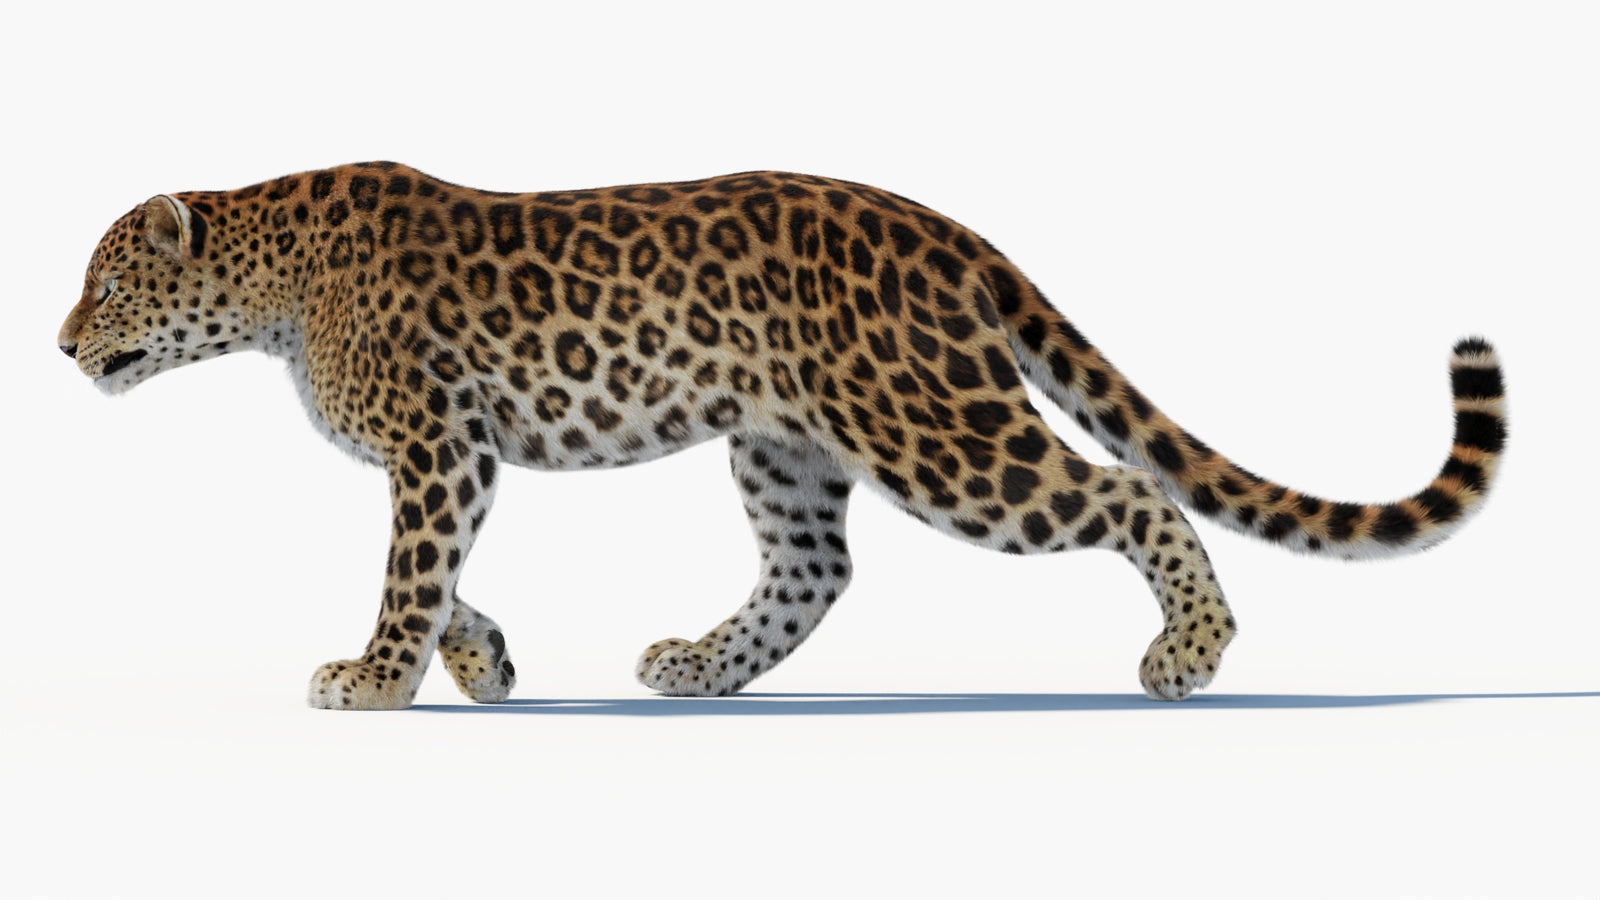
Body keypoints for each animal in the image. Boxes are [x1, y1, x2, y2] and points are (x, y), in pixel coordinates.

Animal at [58, 162, 1508, 709]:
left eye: (108, 285)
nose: (62, 345)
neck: (269, 280)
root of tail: (945, 228)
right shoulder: (457, 453)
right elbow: (448, 572)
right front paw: (482, 664)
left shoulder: (436, 444)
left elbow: (410, 571)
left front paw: (373, 677)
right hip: (784, 447)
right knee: (818, 568)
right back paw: (700, 665)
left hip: (938, 434)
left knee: (1127, 492)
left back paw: (1187, 654)